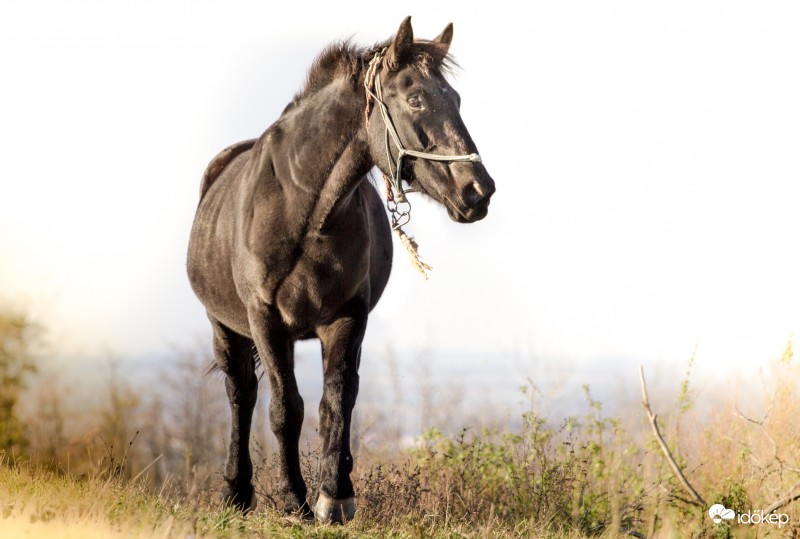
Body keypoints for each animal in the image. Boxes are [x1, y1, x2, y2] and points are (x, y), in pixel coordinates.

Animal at [187, 16, 494, 524]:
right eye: (416, 98)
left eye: (457, 99)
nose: (478, 191)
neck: (304, 213)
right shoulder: (265, 322)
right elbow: (285, 409)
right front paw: (294, 501)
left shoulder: (347, 319)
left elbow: (337, 401)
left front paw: (334, 496)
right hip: (224, 327)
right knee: (241, 395)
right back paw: (237, 492)